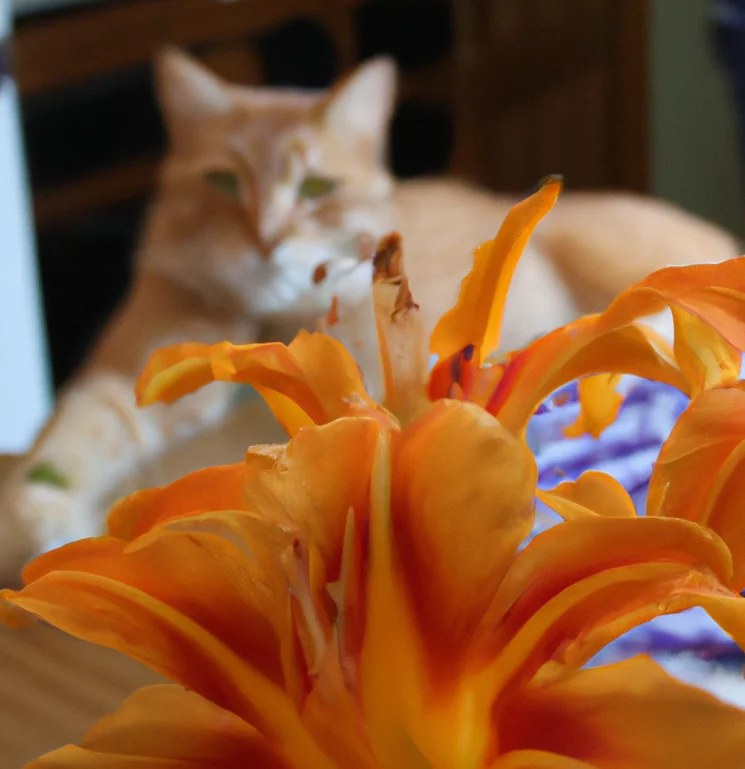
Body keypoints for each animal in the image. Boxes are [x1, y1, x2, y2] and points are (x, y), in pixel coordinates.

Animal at [0, 48, 740, 576]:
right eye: (221, 181)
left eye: (316, 187)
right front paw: (37, 520)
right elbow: (65, 442)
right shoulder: (129, 374)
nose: (265, 238)